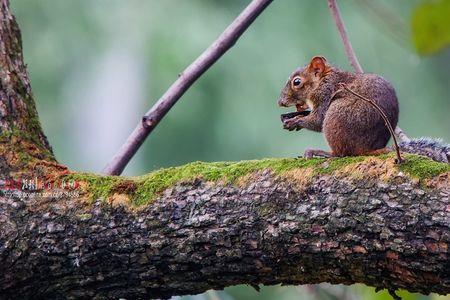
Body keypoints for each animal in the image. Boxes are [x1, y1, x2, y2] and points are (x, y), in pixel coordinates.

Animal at [278, 55, 450, 163]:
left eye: (297, 82)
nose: (280, 102)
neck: (323, 79)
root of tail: (369, 149)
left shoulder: (325, 95)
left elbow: (317, 120)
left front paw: (295, 121)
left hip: (336, 116)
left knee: (342, 154)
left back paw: (321, 152)